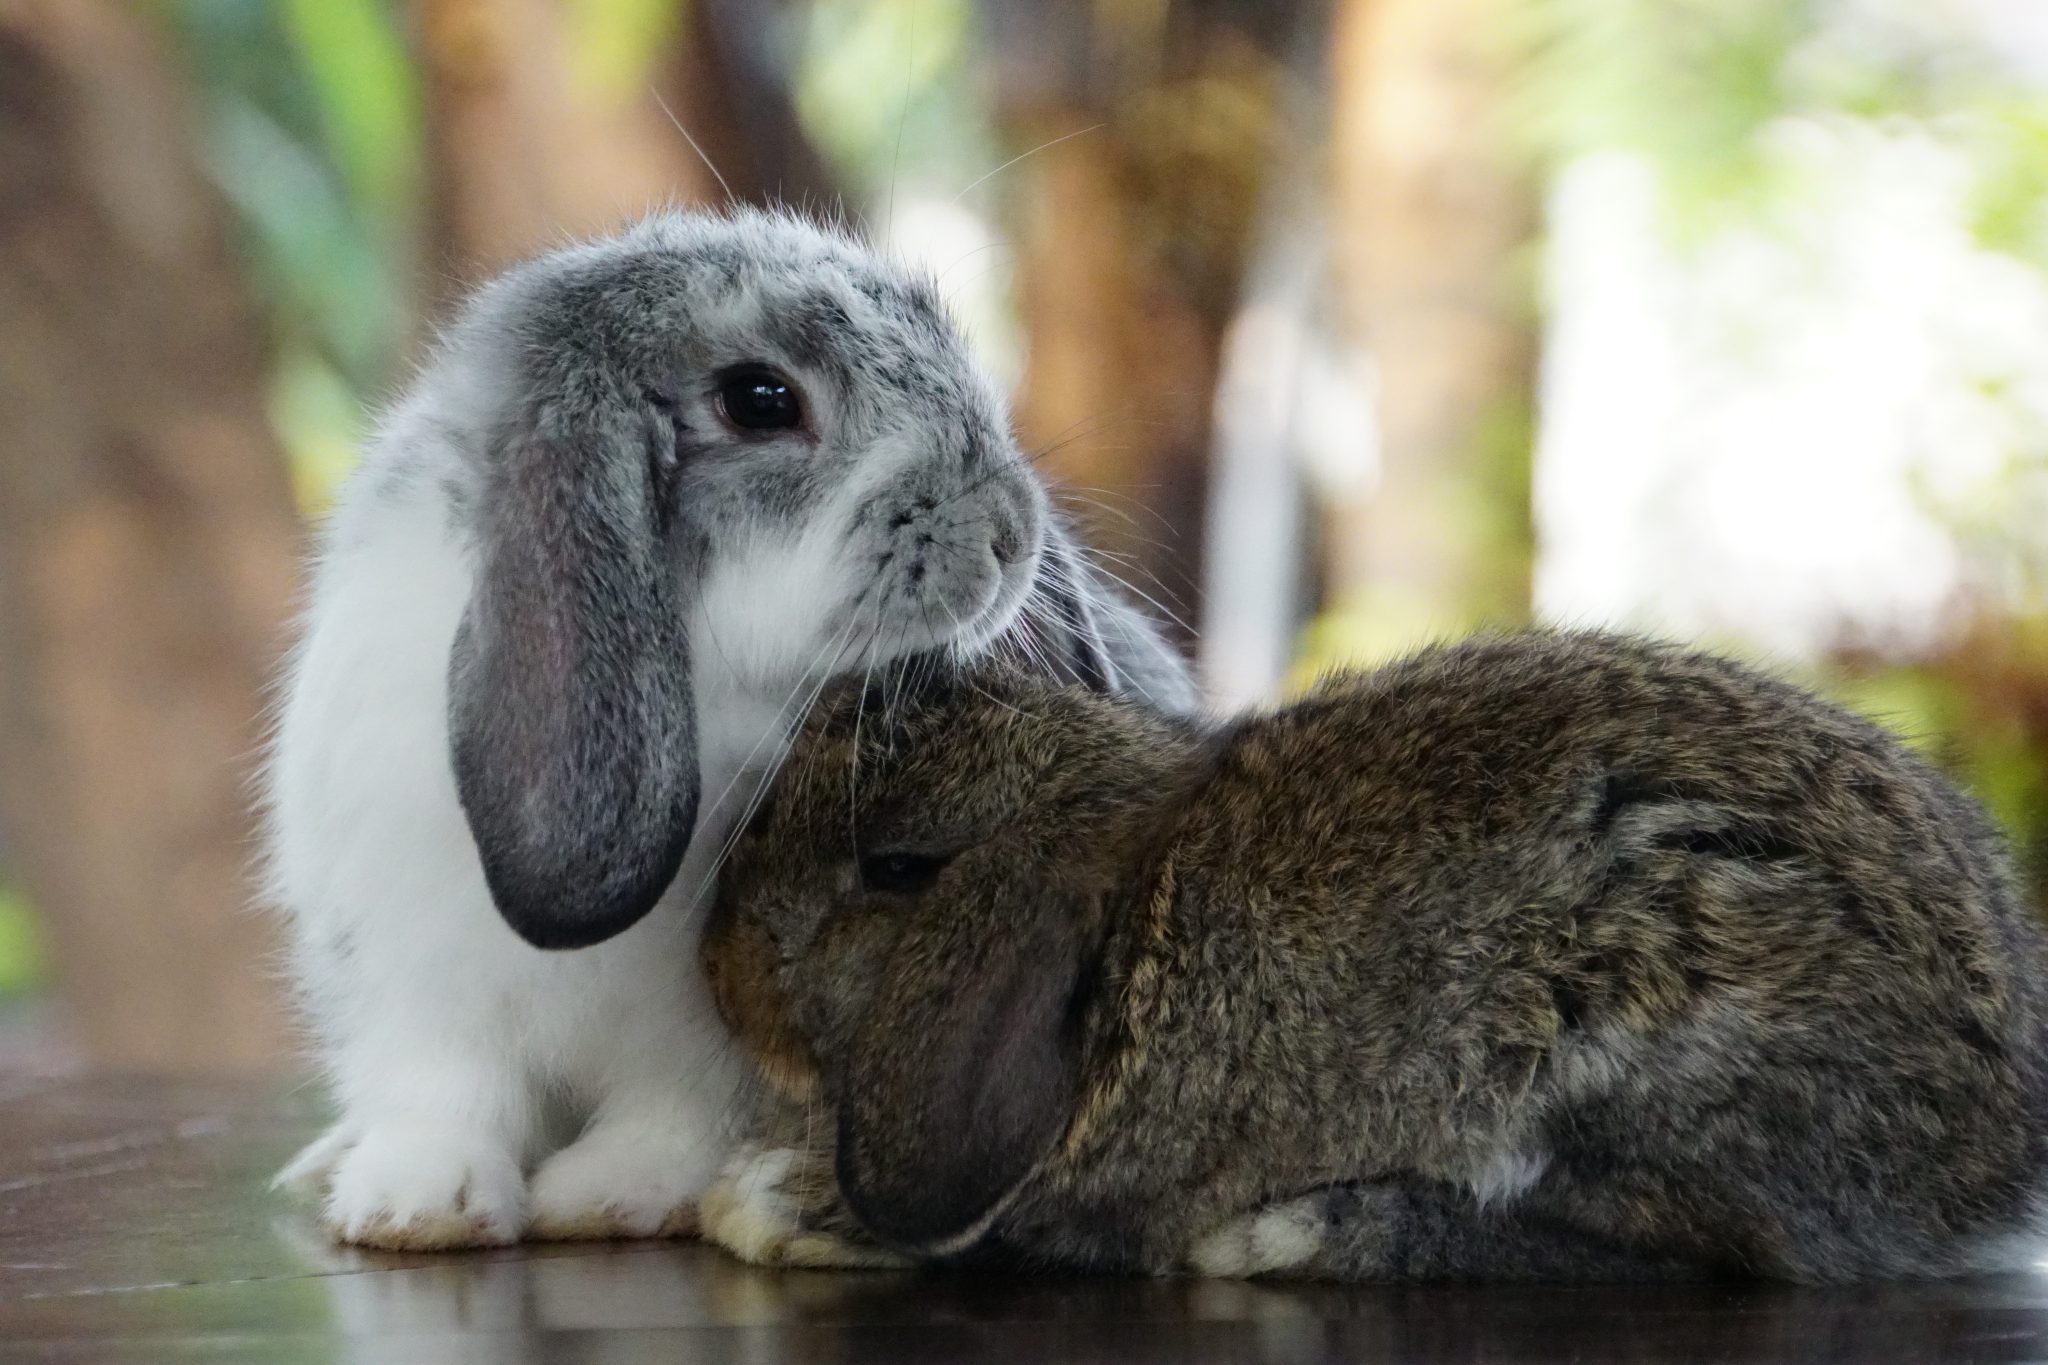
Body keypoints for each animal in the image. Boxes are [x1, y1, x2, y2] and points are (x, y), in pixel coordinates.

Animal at [263, 206, 1194, 1251]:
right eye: (759, 399)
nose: (1009, 532)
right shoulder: (412, 980)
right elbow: (441, 1093)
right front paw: (423, 1205)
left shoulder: (707, 1032)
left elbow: (677, 1113)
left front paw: (611, 1194)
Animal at [698, 630, 2048, 1282]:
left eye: (894, 867)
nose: (716, 970)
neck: (1129, 914)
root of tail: (1988, 1154)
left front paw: (779, 1208)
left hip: (1648, 1039)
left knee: (1708, 1255)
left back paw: (1298, 1238)